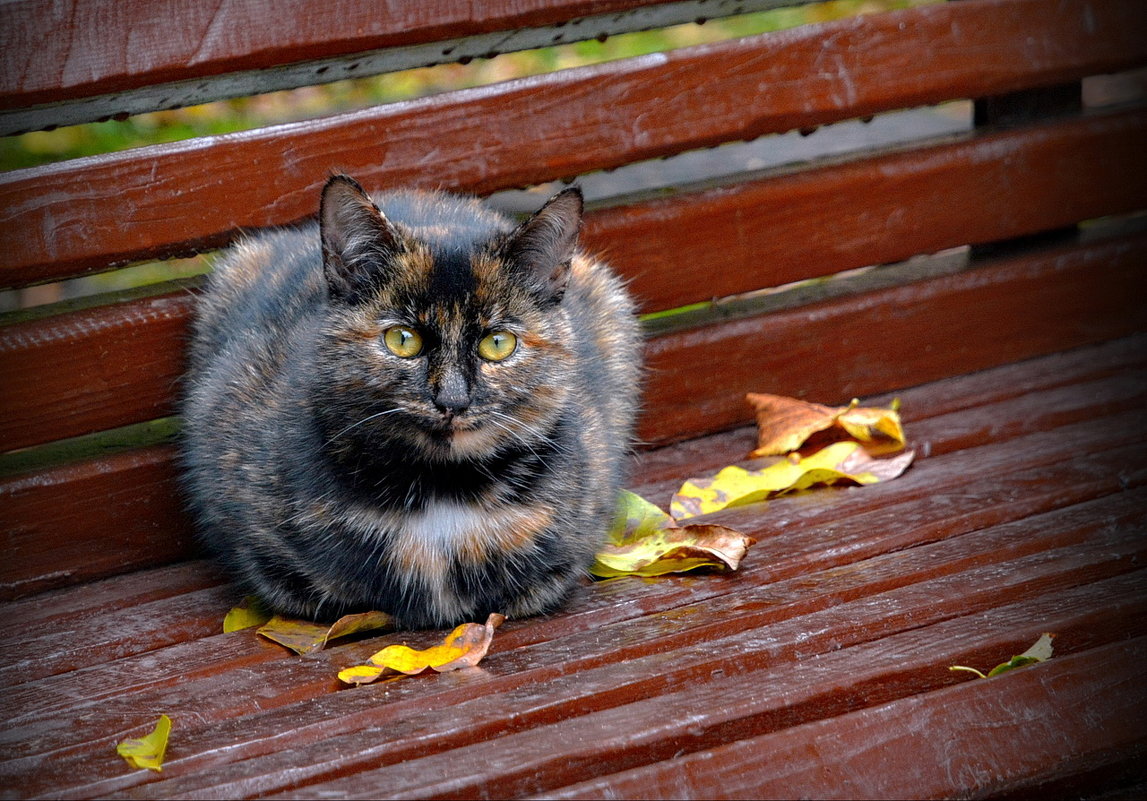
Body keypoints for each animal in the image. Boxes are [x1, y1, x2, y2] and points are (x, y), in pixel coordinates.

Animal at [183, 173, 642, 624]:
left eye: (498, 343)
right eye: (402, 339)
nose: (452, 399)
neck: (442, 490)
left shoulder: (568, 550)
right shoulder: (262, 550)